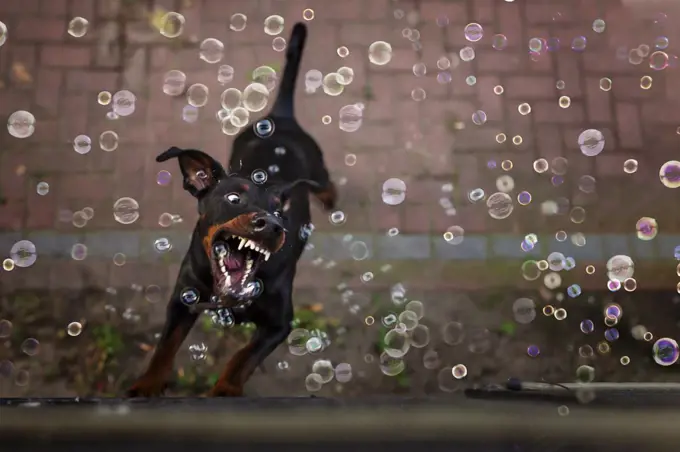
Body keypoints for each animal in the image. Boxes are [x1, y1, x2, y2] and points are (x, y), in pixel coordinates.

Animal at [127, 22, 334, 396]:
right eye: (233, 199)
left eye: (279, 212)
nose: (271, 225)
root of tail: (280, 117)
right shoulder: (184, 298)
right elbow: (165, 346)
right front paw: (147, 385)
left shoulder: (280, 322)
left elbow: (243, 357)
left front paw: (224, 389)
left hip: (318, 165)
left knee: (326, 183)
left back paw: (329, 198)